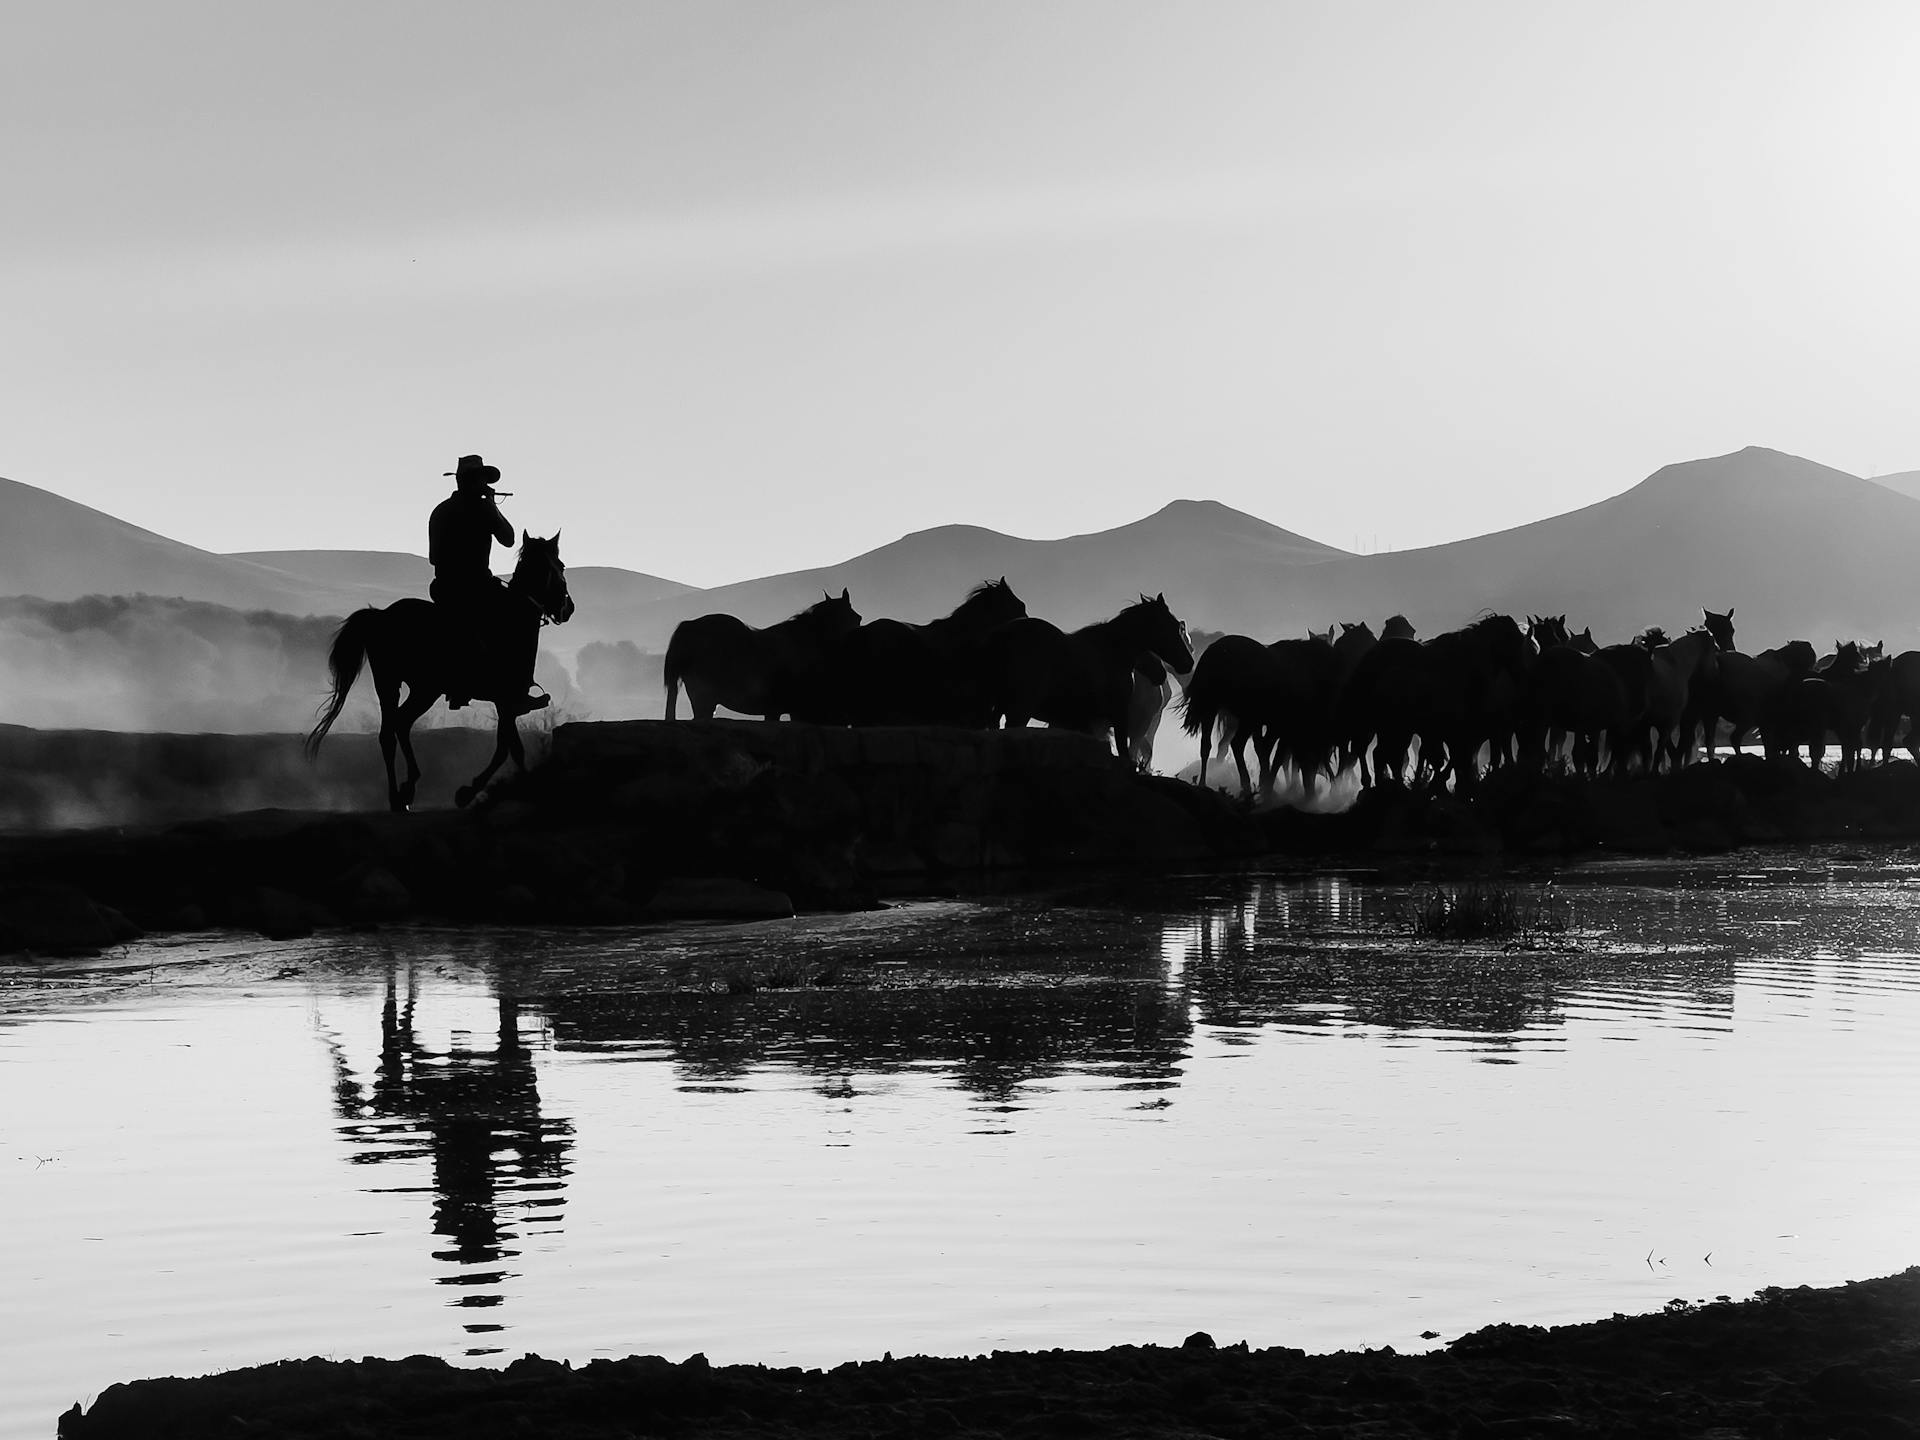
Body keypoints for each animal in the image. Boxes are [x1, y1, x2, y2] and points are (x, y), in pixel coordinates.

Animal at [303, 537, 576, 817]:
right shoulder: (506, 700)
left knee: (392, 731)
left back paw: (400, 795)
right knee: (397, 727)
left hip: (398, 686)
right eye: (561, 566)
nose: (568, 608)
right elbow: (509, 748)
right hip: (421, 688)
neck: (510, 620)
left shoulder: (505, 703)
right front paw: (479, 791)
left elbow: (508, 745)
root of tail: (382, 615)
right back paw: (406, 790)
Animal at [983, 591, 1190, 760]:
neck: (1113, 650)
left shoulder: (1085, 721)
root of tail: (1002, 634)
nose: (1188, 663)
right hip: (1019, 709)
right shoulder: (1117, 716)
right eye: (1173, 626)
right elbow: (1123, 753)